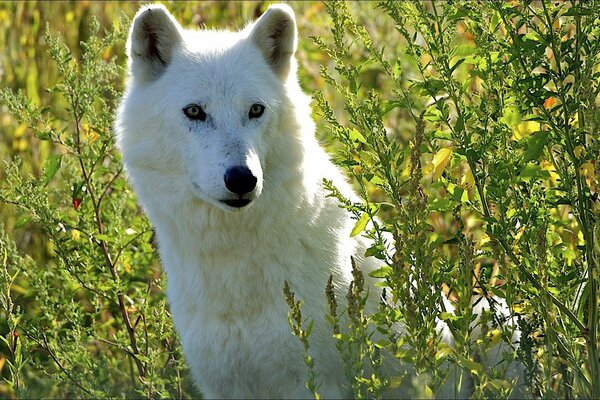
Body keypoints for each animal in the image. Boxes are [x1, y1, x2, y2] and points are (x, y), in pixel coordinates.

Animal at [116, 3, 520, 400]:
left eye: (256, 110)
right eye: (195, 112)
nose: (243, 179)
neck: (233, 268)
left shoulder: (312, 380)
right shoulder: (223, 386)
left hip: (499, 322)